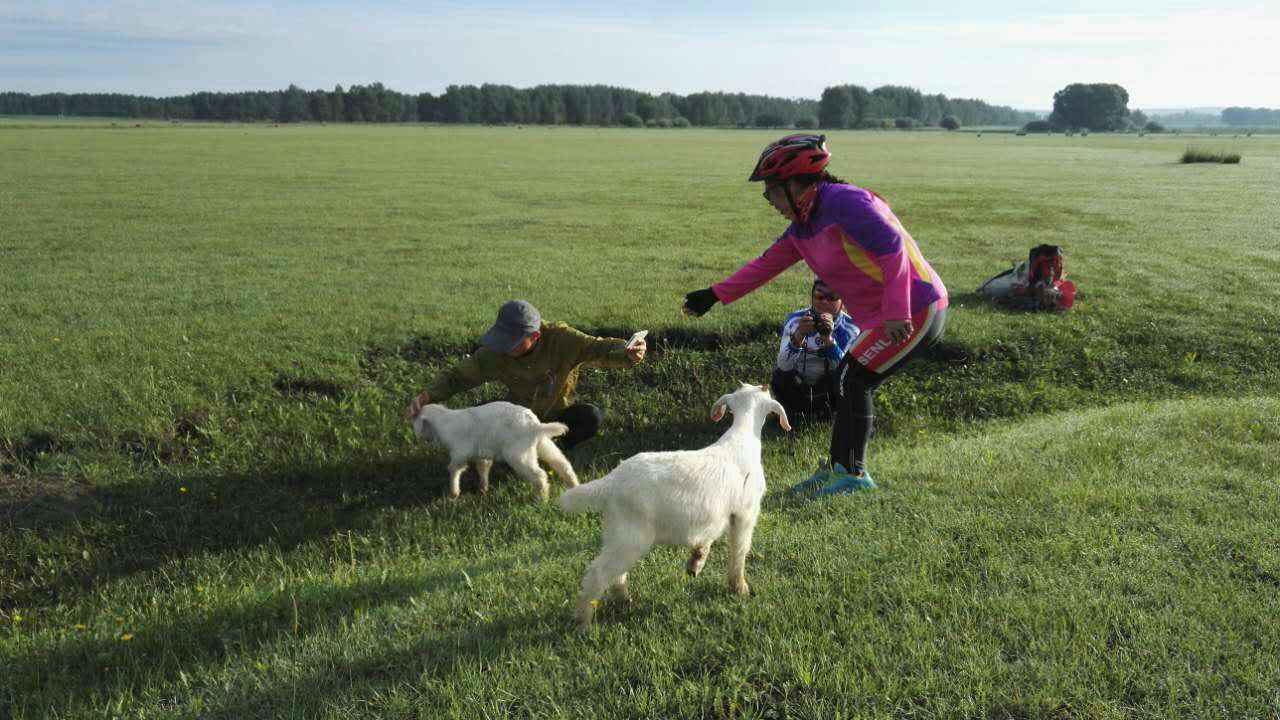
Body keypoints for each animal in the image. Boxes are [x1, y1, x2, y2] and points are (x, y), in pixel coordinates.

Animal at [412, 399, 578, 502]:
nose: (418, 437)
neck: (445, 422)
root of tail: (534, 426)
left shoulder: (460, 452)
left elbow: (454, 469)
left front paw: (453, 493)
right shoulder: (482, 452)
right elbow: (483, 466)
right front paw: (483, 489)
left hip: (518, 455)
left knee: (540, 476)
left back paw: (541, 500)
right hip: (542, 444)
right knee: (562, 464)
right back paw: (574, 485)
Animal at [563, 381, 788, 627]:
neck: (741, 442)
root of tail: (611, 482)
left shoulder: (717, 515)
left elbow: (708, 538)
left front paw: (696, 562)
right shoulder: (745, 513)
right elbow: (739, 550)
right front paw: (739, 588)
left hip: (618, 534)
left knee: (614, 574)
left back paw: (624, 600)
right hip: (630, 537)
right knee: (598, 573)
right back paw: (583, 622)